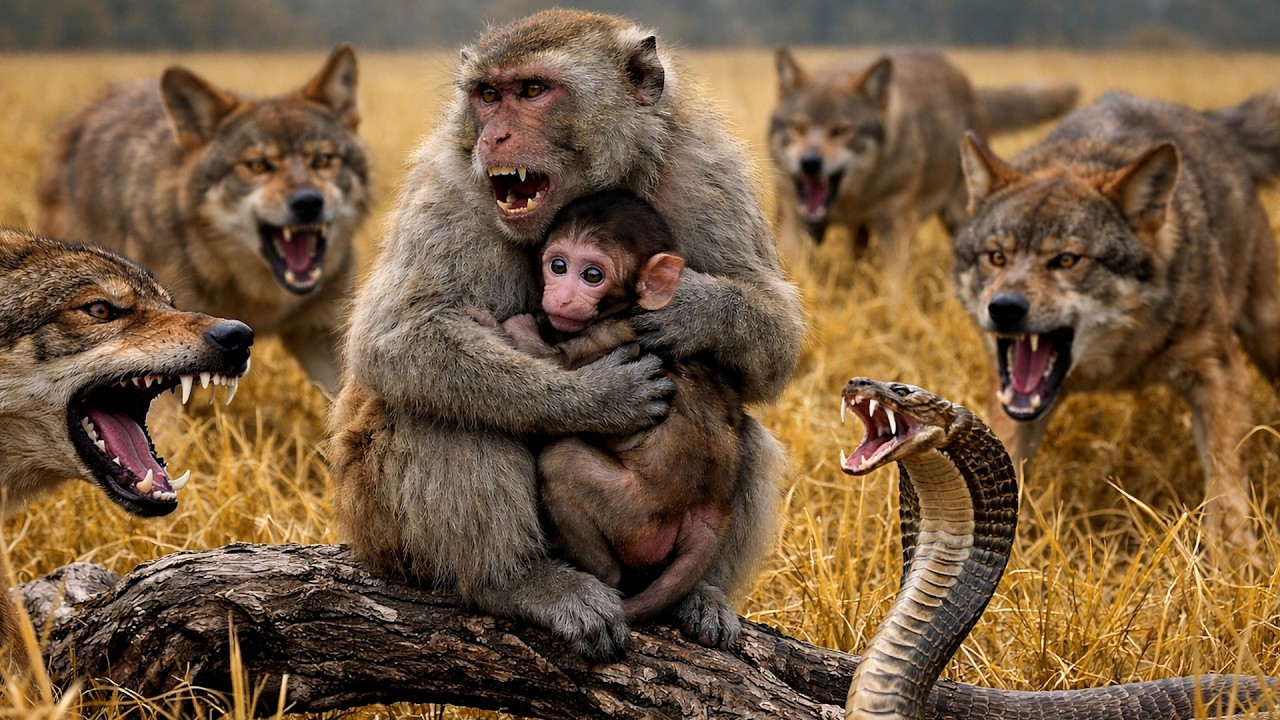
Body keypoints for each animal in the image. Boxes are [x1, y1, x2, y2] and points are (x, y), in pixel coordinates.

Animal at [471, 190, 747, 626]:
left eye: (592, 275)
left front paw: (508, 328)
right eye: (558, 265)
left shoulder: (608, 334)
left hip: (635, 515)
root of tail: (708, 513)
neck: (622, 309)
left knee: (562, 461)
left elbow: (556, 364)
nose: (562, 296)